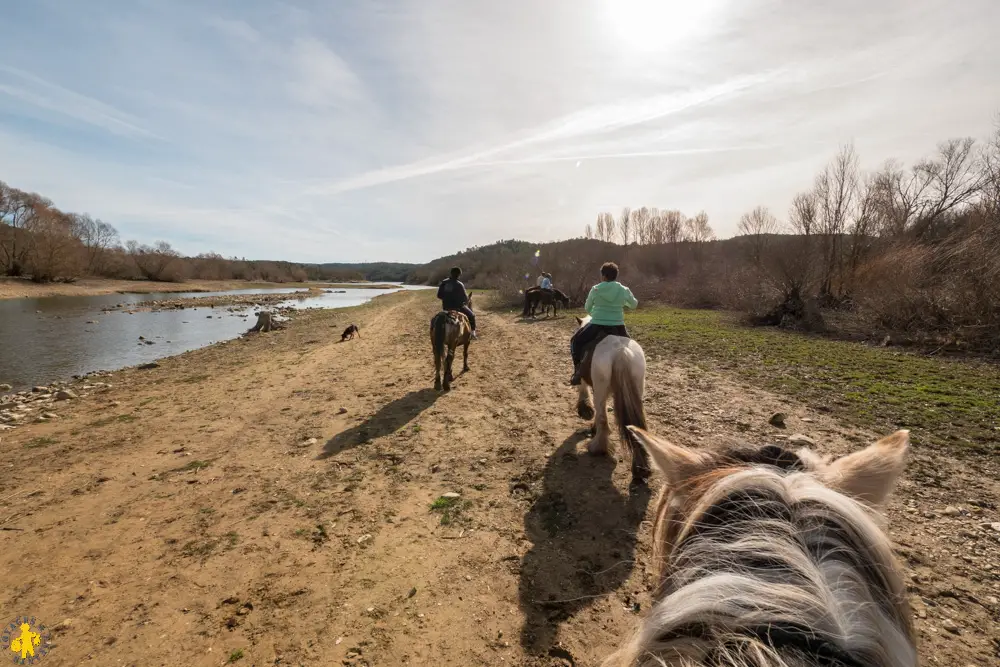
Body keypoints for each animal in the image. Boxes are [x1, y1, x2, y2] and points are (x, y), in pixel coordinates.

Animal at [576, 316, 652, 488]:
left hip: (600, 387)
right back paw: (640, 469)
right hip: (637, 386)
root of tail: (621, 351)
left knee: (603, 418)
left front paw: (585, 410)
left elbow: (586, 395)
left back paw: (597, 448)